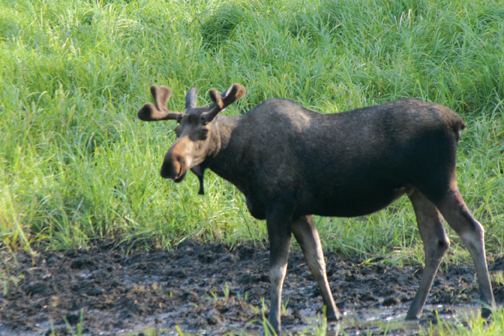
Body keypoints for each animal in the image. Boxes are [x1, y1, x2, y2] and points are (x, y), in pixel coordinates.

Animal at [138, 84, 496, 334]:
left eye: (203, 130)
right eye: (176, 130)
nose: (170, 165)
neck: (238, 164)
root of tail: (457, 122)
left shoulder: (280, 206)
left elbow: (278, 270)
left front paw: (274, 321)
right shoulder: (300, 212)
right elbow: (317, 261)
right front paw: (334, 314)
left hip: (438, 182)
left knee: (472, 230)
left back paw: (488, 306)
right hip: (418, 190)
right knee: (437, 242)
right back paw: (413, 311)